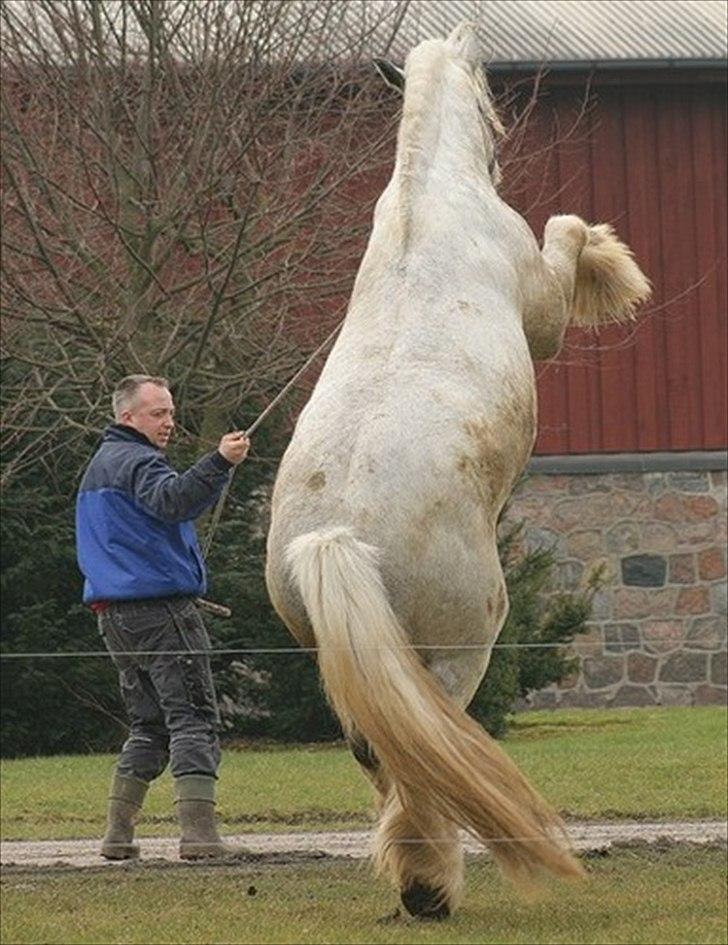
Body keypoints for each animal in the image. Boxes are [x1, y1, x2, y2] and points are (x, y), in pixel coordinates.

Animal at [264, 22, 652, 920]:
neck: (428, 200)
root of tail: (342, 536)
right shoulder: (542, 312)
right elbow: (566, 232)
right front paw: (611, 264)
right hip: (454, 653)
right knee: (426, 755)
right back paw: (432, 886)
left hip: (345, 664)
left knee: (381, 755)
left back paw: (416, 882)